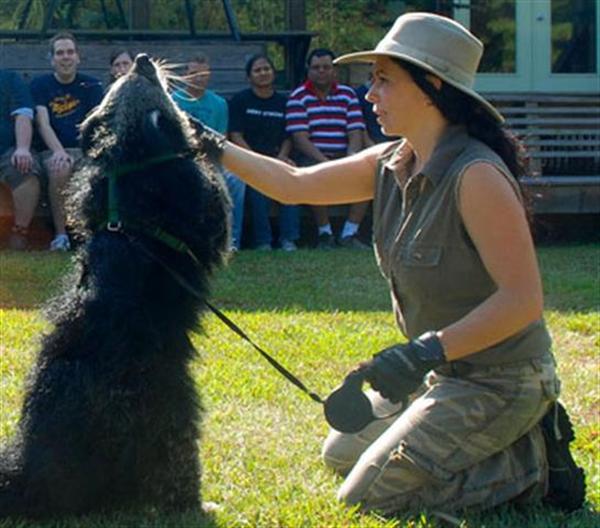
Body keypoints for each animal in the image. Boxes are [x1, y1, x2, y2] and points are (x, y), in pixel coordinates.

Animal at [0, 54, 230, 520]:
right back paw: (193, 503)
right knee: (175, 459)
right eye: (131, 78)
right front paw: (203, 137)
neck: (131, 153)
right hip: (165, 404)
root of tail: (29, 473)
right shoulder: (191, 193)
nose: (141, 60)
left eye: (117, 82)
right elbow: (218, 213)